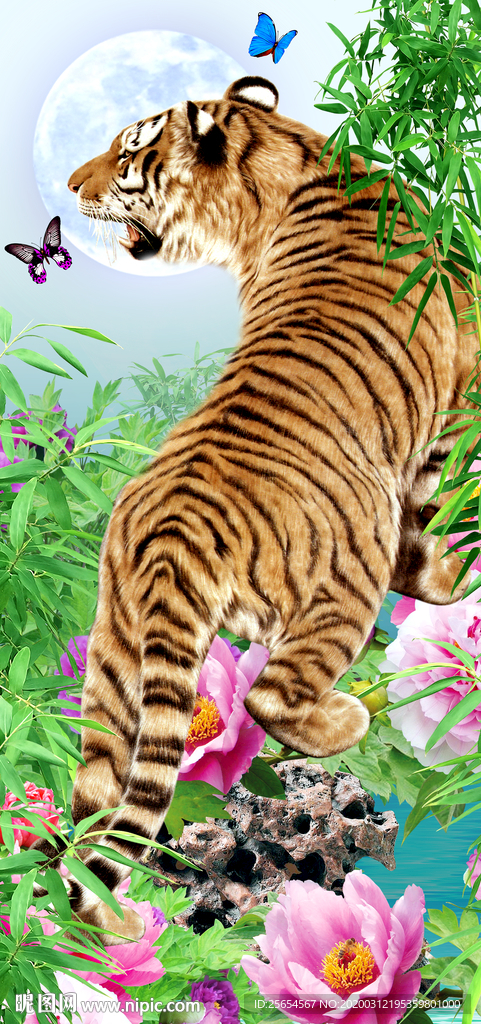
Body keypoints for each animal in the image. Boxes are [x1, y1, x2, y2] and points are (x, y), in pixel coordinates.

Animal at [36, 75, 477, 942]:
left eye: (127, 150)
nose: (68, 184)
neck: (287, 162)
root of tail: (168, 534)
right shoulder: (454, 390)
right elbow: (437, 509)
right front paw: (454, 573)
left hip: (114, 664)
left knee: (96, 804)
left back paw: (99, 921)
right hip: (344, 579)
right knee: (276, 694)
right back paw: (345, 719)